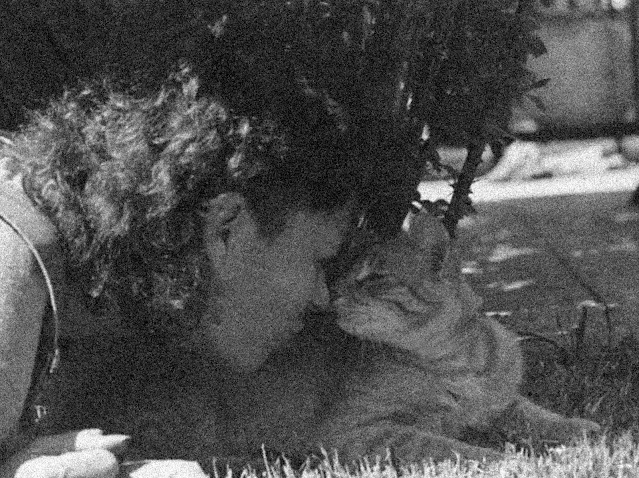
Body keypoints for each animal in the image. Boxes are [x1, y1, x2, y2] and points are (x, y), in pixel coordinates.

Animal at [318, 209, 600, 464]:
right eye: (341, 276)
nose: (332, 293)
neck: (457, 360)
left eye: (375, 276)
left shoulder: (501, 401)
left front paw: (579, 427)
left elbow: (537, 413)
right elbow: (445, 447)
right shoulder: (351, 433)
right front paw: (504, 459)